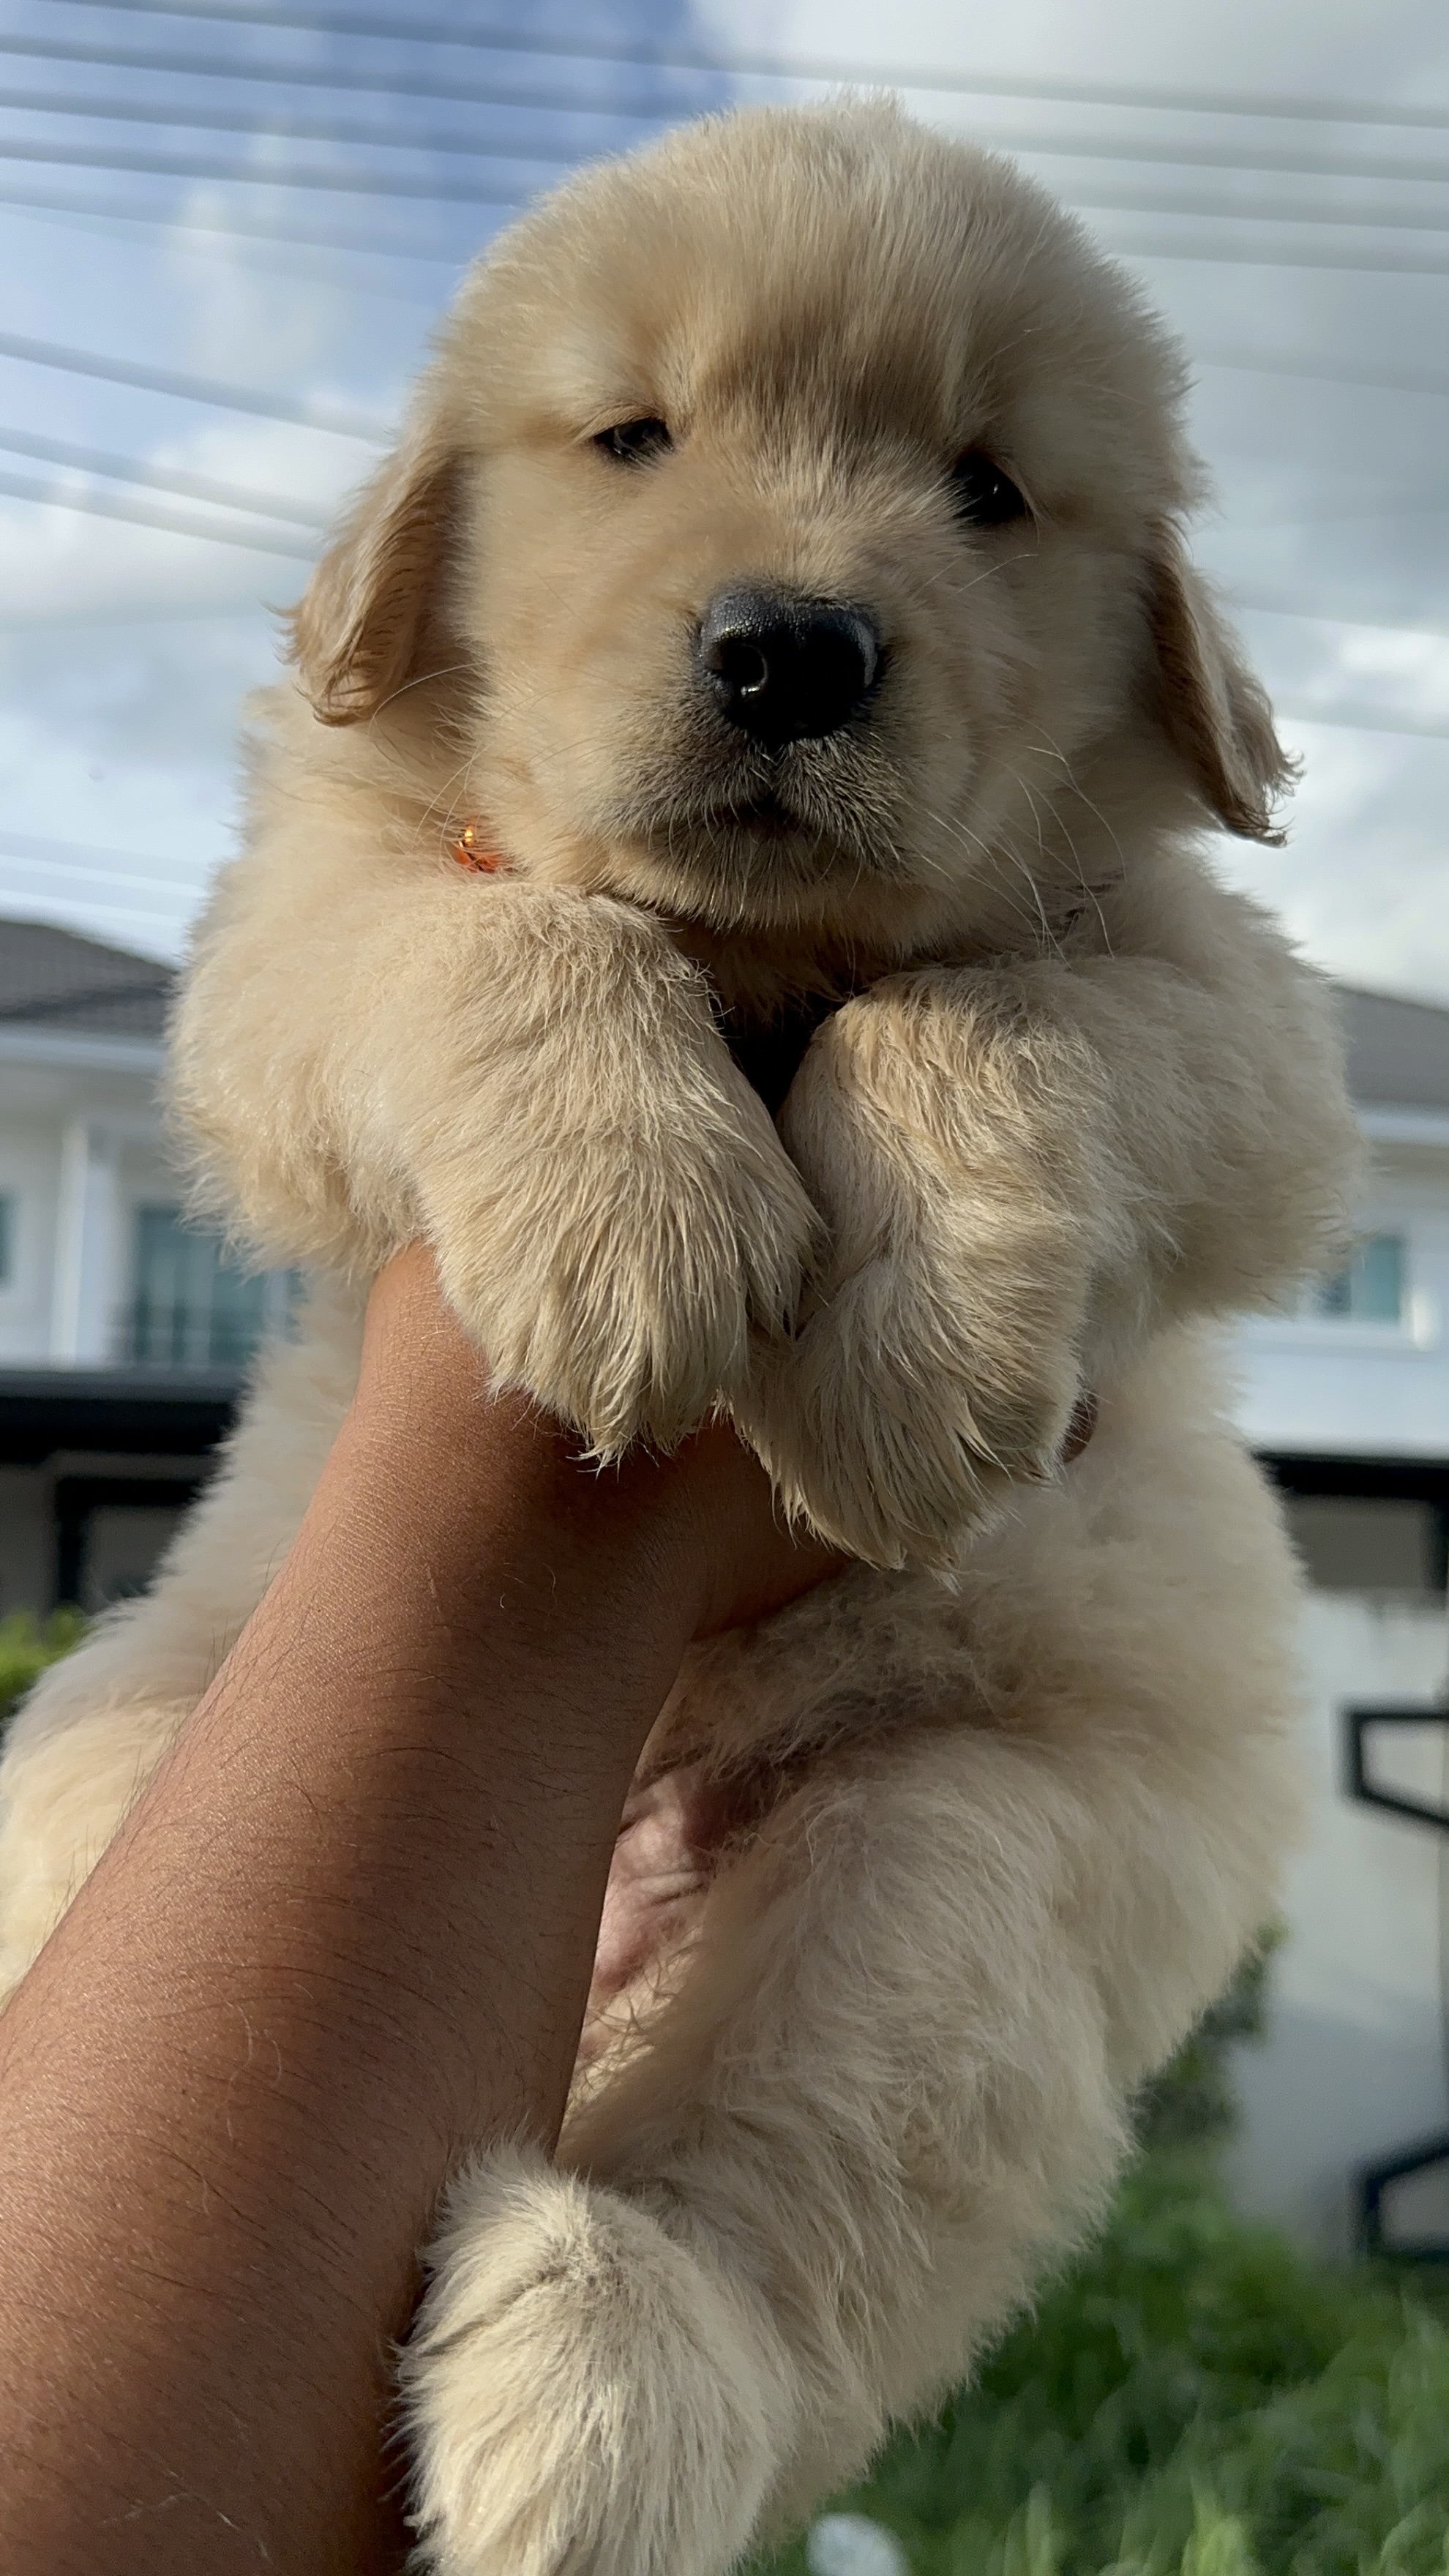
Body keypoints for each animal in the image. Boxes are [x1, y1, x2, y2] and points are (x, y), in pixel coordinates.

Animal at [0, 101, 1358, 2576]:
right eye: (632, 436)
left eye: (988, 488)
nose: (792, 647)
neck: (754, 959)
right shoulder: (294, 931)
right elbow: (496, 934)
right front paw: (630, 1219)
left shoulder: (1238, 1020)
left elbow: (1004, 1008)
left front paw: (906, 1352)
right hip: (130, 1722)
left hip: (970, 1854)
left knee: (790, 2219)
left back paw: (596, 2359)